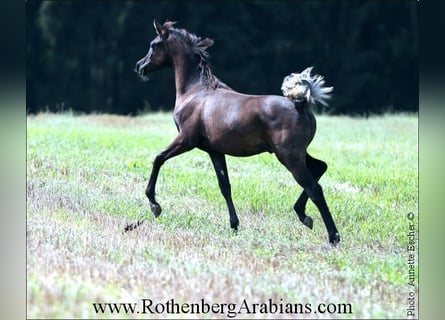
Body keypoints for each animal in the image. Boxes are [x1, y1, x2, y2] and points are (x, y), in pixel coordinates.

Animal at [134, 20, 338, 245]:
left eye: (153, 45)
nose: (139, 66)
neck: (196, 92)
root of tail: (300, 104)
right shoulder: (214, 151)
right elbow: (225, 185)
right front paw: (234, 225)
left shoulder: (186, 140)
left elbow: (158, 158)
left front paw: (154, 205)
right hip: (297, 154)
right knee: (320, 167)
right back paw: (303, 215)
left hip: (289, 156)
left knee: (315, 189)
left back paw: (332, 236)